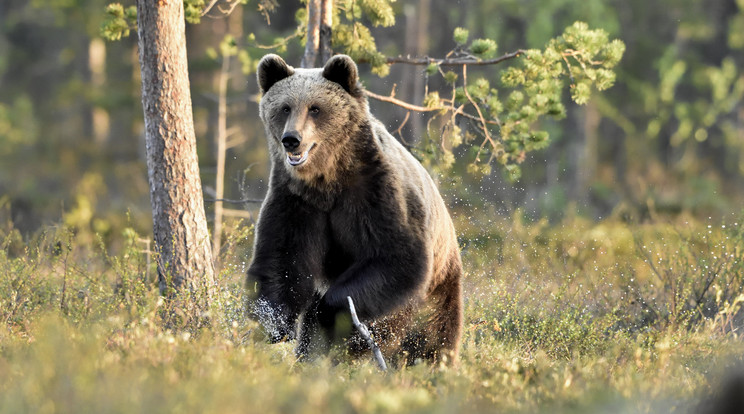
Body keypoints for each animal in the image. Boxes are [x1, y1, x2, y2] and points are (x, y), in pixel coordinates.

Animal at [247, 53, 462, 364]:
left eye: (315, 108)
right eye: (284, 107)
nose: (291, 139)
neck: (327, 178)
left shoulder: (374, 193)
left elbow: (395, 258)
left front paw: (326, 312)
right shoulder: (296, 200)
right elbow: (282, 258)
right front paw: (275, 321)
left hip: (439, 288)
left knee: (433, 337)